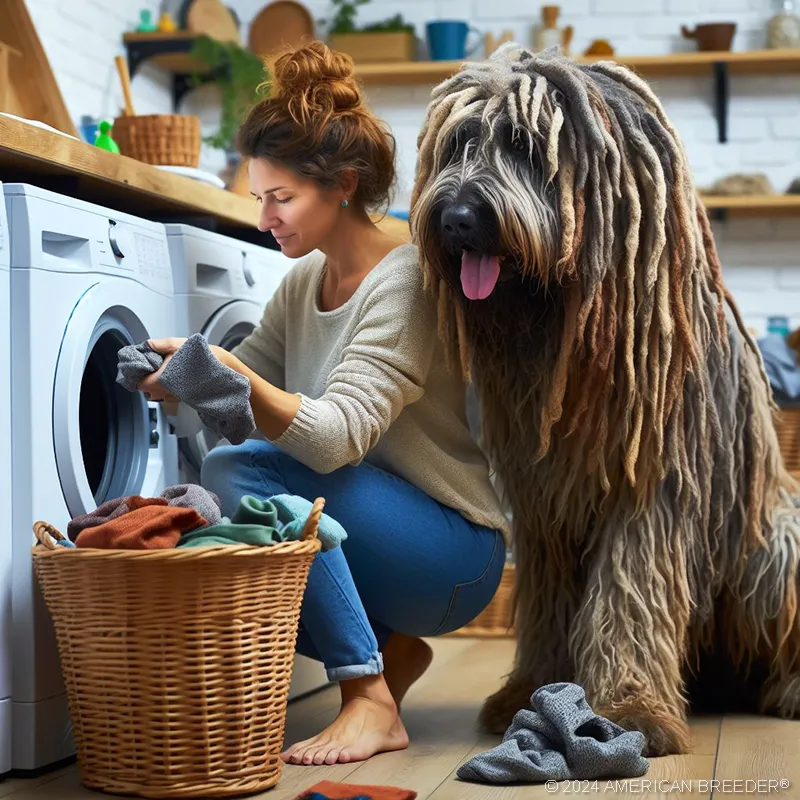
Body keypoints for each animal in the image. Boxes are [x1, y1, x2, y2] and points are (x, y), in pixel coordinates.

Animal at [410, 43, 800, 756]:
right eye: (458, 143)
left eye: (527, 145)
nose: (455, 217)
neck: (567, 331)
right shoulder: (544, 501)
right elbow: (549, 606)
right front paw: (528, 691)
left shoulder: (650, 489)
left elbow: (629, 593)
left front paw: (632, 708)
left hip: (774, 551)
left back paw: (788, 691)